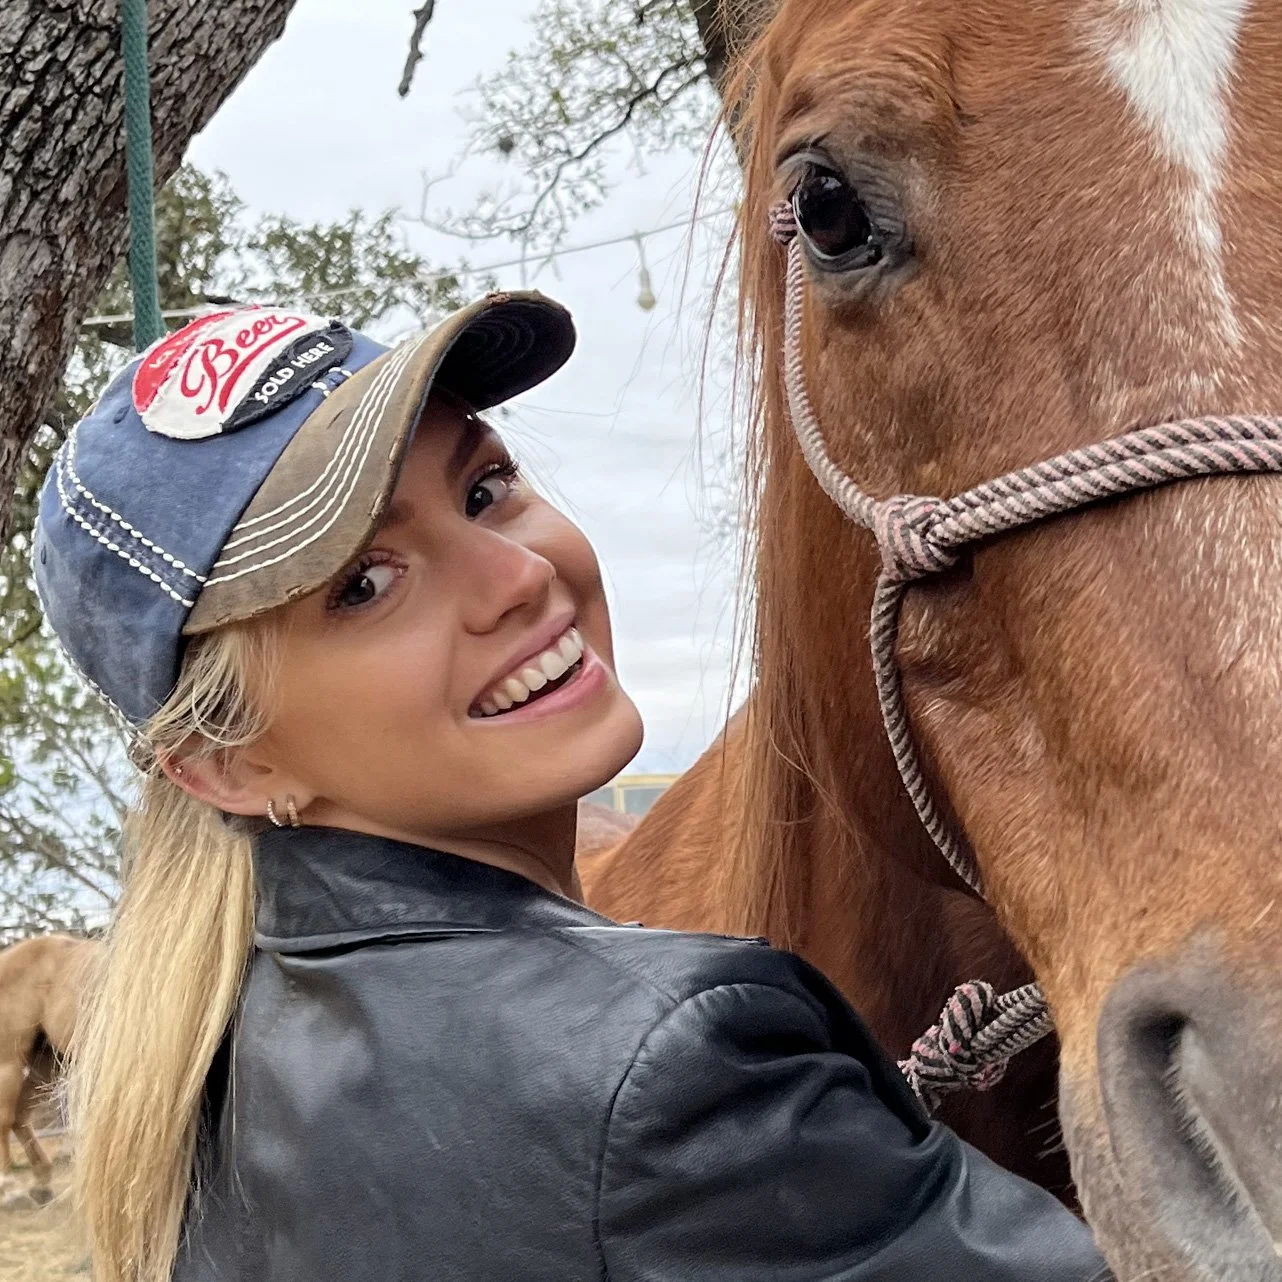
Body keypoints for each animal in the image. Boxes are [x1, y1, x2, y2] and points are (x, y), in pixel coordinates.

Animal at [0, 933, 95, 1204]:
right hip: (9, 1062)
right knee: (5, 1118)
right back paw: (8, 1186)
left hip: (46, 1062)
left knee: (19, 1116)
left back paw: (41, 1185)